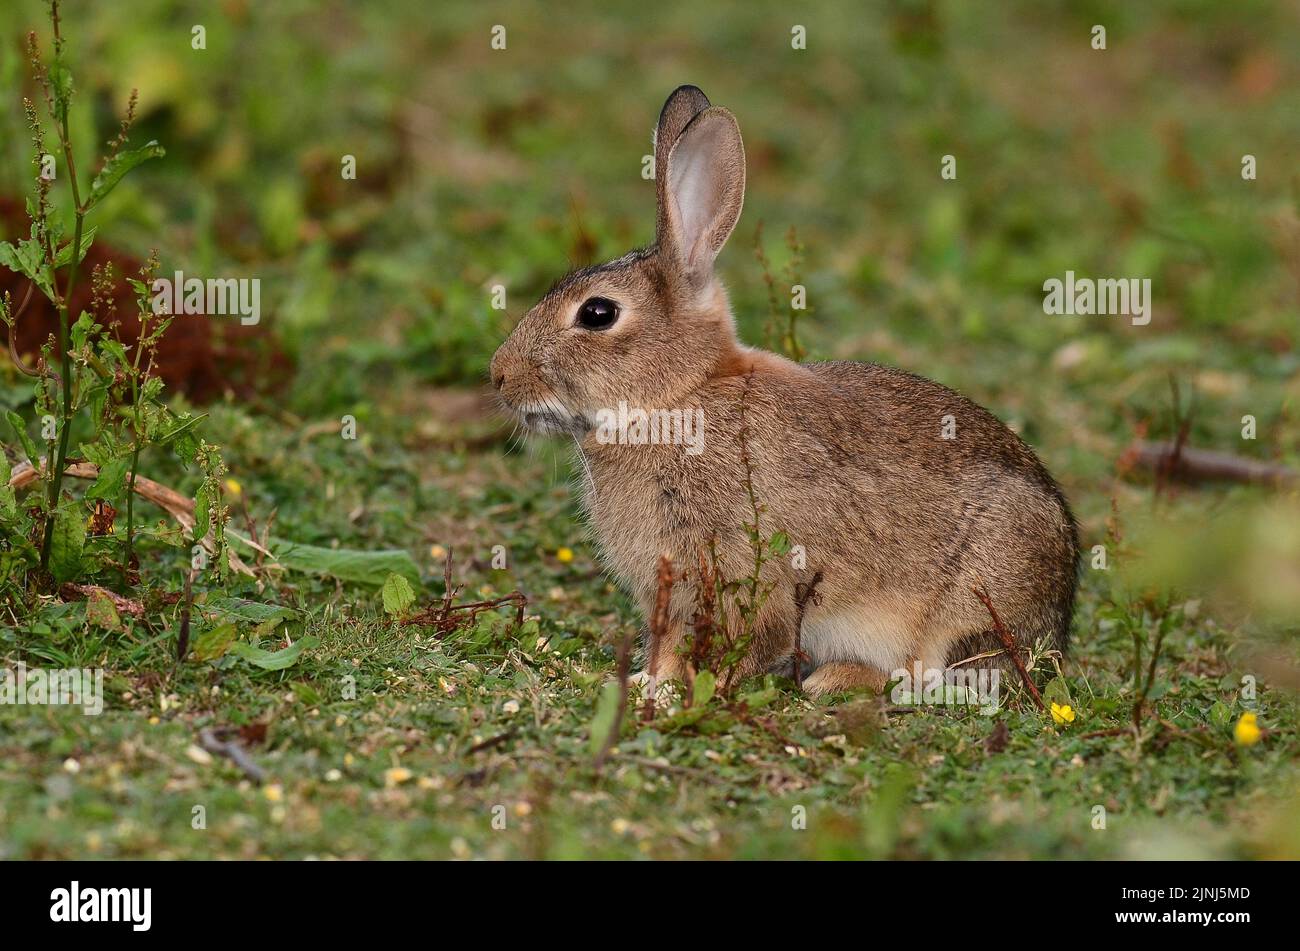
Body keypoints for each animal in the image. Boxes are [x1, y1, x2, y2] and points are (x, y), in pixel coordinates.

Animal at [488, 85, 1076, 696]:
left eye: (598, 314)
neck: (679, 398)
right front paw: (651, 682)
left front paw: (675, 691)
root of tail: (1058, 620)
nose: (499, 375)